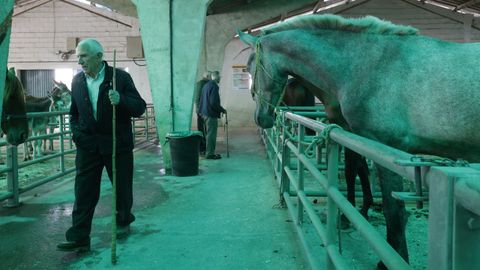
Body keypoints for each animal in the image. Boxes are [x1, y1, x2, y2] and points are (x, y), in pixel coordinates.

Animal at [239, 14, 480, 268]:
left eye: (250, 67)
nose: (261, 118)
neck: (366, 64)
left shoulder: (386, 148)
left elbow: (393, 209)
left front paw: (391, 258)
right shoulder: (357, 137)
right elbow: (357, 172)